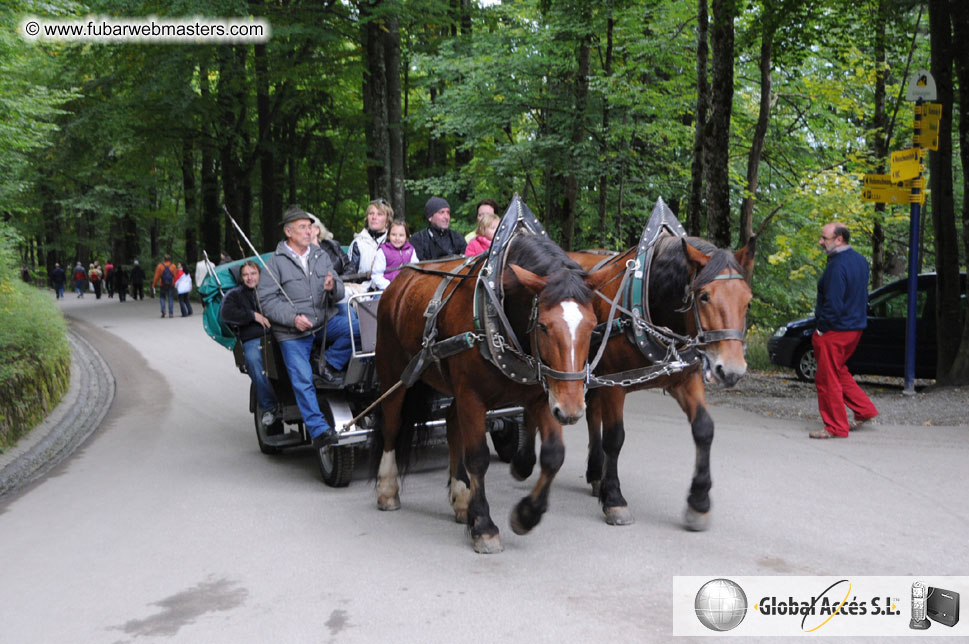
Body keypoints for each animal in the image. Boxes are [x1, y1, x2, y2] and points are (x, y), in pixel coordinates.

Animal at [374, 233, 608, 552]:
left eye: (593, 326)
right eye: (543, 326)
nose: (572, 410)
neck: (498, 311)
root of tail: (399, 281)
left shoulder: (543, 395)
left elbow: (553, 454)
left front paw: (526, 514)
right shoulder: (472, 396)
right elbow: (478, 458)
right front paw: (484, 526)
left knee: (451, 423)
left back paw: (462, 499)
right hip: (394, 369)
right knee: (392, 423)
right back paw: (387, 489)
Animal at [516, 234, 756, 532]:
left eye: (748, 301)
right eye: (704, 296)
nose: (732, 370)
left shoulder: (685, 378)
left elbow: (704, 429)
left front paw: (699, 502)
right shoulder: (615, 384)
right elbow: (615, 438)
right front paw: (615, 500)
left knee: (591, 415)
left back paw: (595, 473)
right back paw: (526, 461)